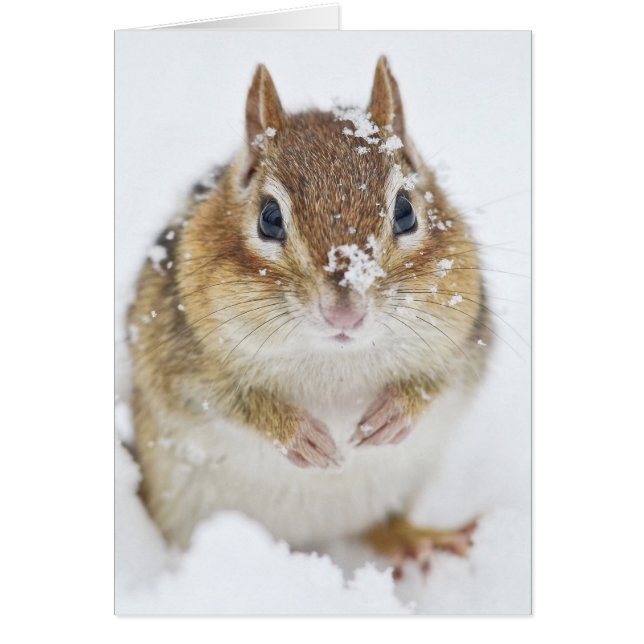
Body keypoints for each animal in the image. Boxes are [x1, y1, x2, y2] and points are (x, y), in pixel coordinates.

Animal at [128, 56, 491, 577]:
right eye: (269, 218)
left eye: (405, 211)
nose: (345, 311)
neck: (334, 363)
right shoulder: (179, 362)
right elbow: (225, 398)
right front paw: (301, 436)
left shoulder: (464, 340)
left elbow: (439, 379)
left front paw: (392, 415)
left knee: (383, 525)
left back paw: (418, 540)